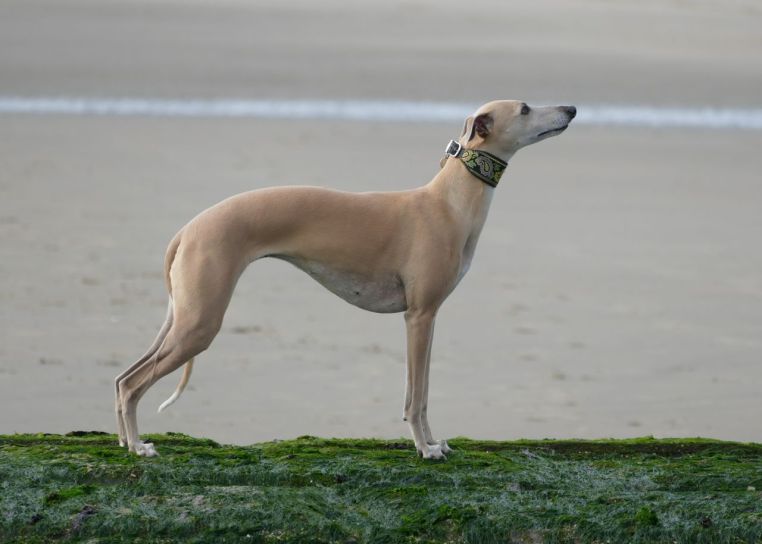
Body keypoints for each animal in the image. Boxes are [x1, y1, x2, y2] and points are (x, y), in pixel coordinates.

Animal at [114, 99, 576, 458]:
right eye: (525, 108)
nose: (572, 109)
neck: (447, 203)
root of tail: (188, 229)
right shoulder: (420, 316)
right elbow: (418, 396)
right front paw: (425, 448)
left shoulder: (424, 318)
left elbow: (420, 391)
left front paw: (432, 443)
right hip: (201, 321)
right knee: (133, 383)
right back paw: (138, 446)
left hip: (183, 316)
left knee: (122, 378)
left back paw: (124, 442)